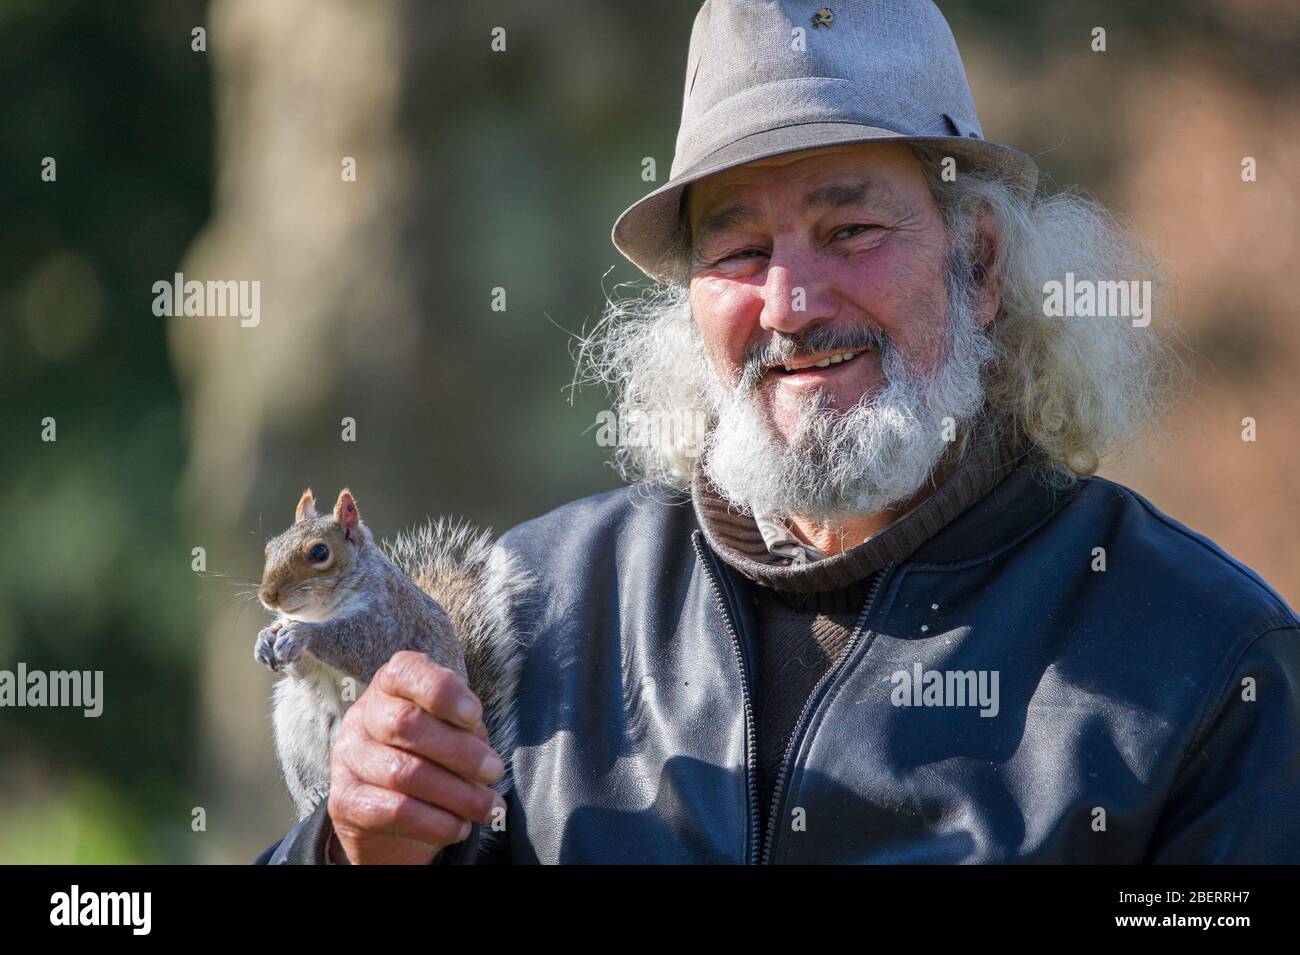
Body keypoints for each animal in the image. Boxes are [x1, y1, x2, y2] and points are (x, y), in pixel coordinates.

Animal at [255, 487, 467, 819]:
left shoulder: (390, 619)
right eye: (269, 548)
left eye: (319, 553)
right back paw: (314, 794)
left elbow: (360, 644)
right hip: (293, 729)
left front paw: (303, 634)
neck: (320, 611)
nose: (267, 596)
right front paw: (266, 637)